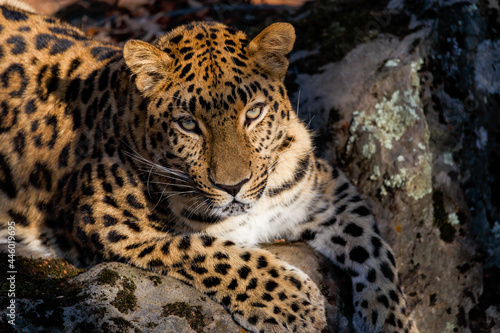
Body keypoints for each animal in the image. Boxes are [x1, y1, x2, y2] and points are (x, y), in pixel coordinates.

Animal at [0, 5, 418, 332]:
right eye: (188, 124)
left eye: (253, 113)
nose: (234, 186)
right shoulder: (105, 221)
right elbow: (208, 250)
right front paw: (293, 302)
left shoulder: (326, 189)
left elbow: (376, 249)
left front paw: (392, 319)